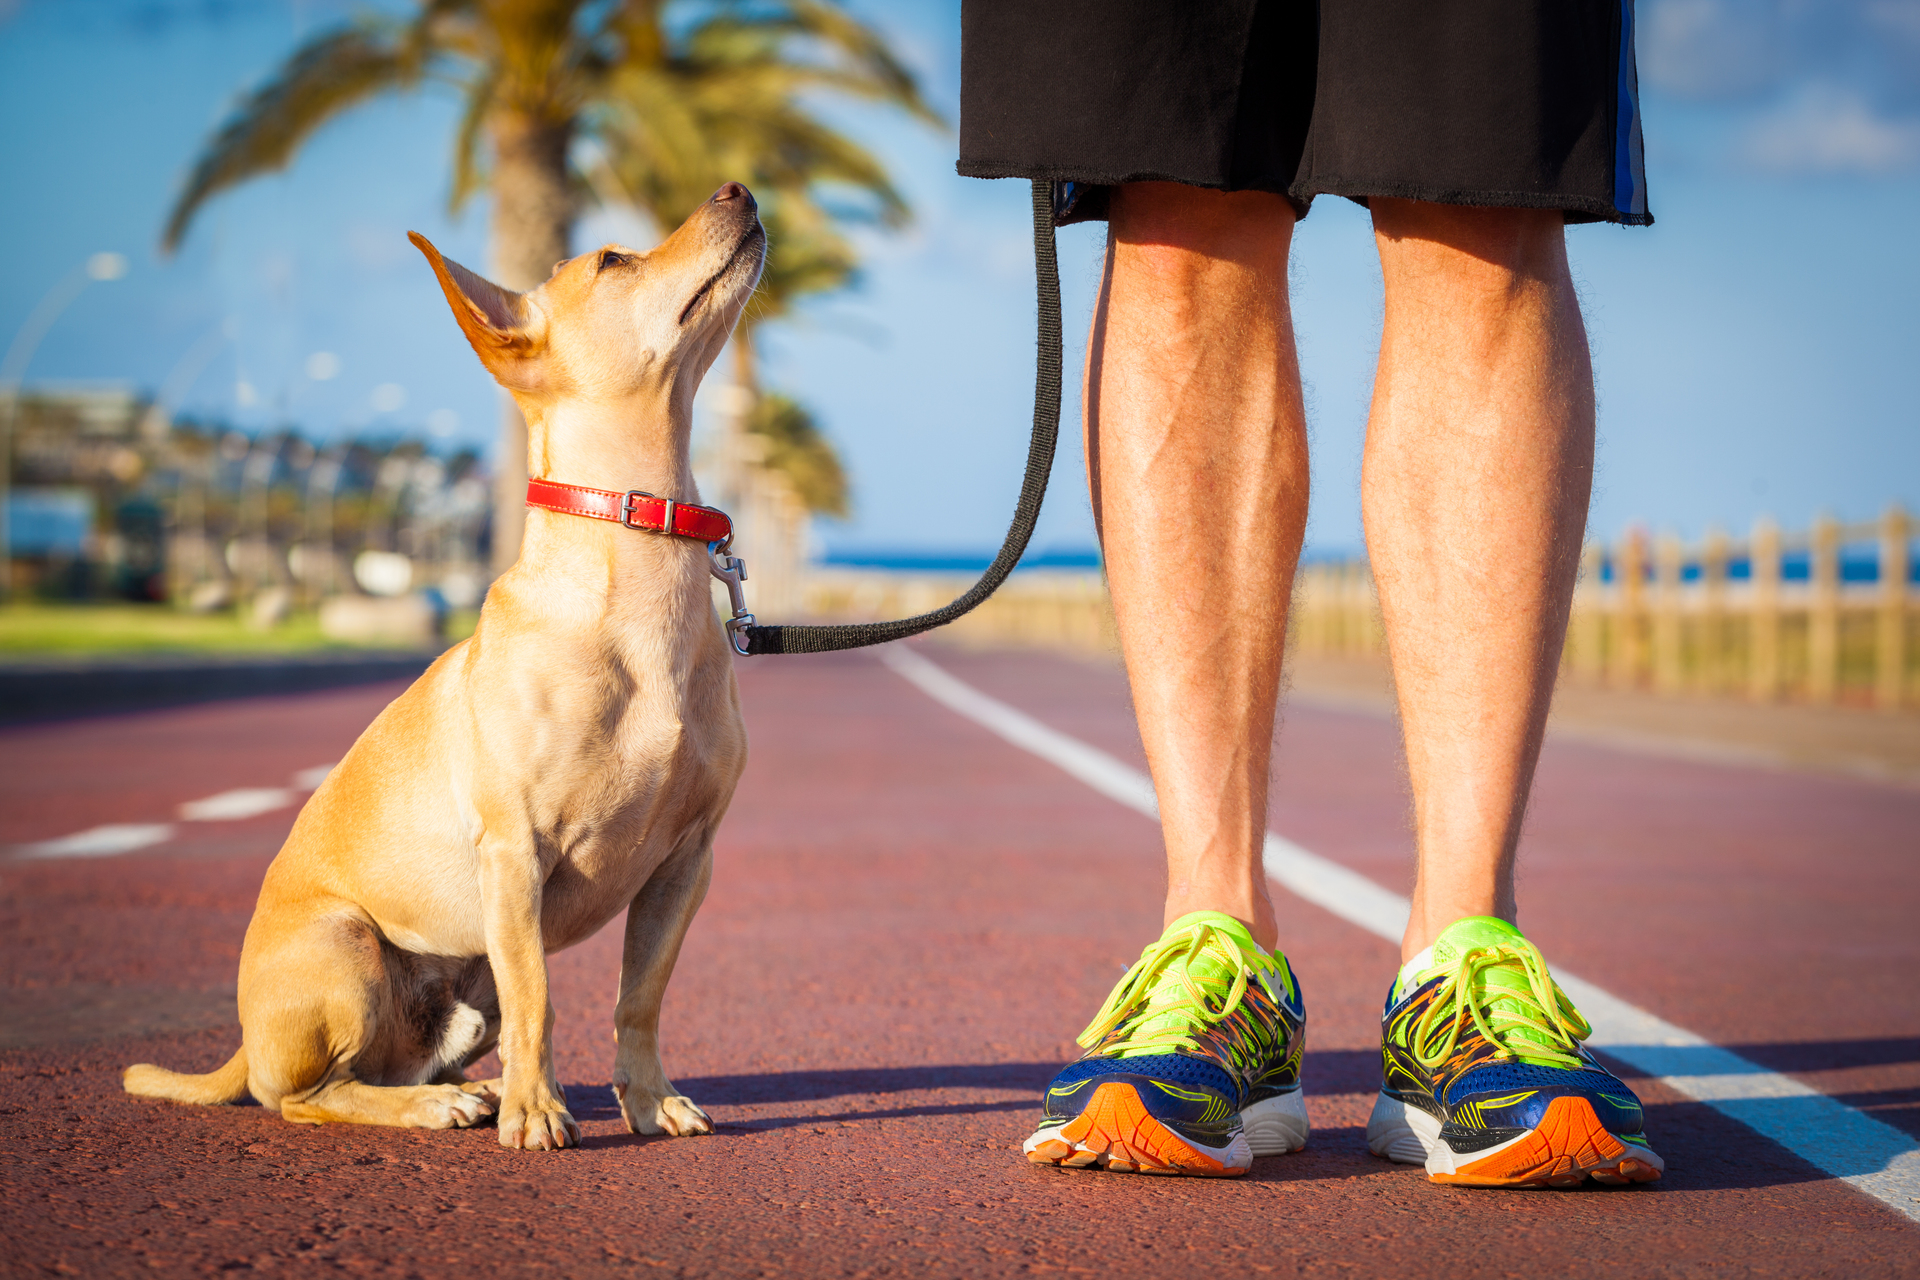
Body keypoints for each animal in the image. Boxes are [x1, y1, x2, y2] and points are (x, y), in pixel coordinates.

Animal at [118, 180, 764, 1151]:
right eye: (613, 260)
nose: (737, 188)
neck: (641, 564)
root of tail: (244, 1044)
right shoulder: (516, 855)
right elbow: (542, 1001)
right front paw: (539, 1113)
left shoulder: (687, 864)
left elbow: (638, 999)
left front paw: (648, 1101)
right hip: (348, 949)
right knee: (311, 1094)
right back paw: (447, 1104)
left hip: (465, 988)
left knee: (393, 1065)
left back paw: (474, 1089)